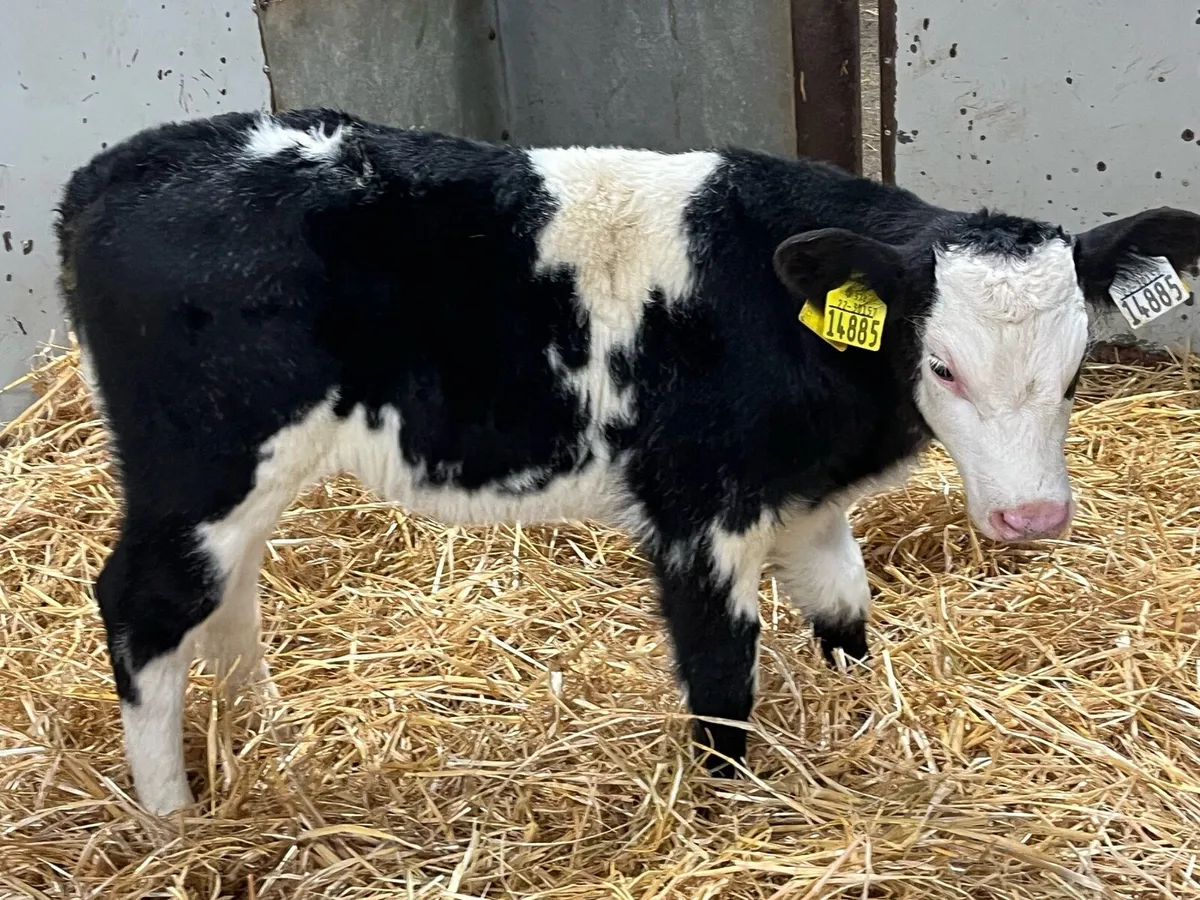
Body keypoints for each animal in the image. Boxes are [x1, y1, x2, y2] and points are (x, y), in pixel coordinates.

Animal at [55, 108, 1200, 815]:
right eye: (944, 366)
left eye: (1077, 366)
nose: (1031, 519)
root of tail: (116, 170)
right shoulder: (698, 511)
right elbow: (723, 677)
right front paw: (731, 811)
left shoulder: (805, 500)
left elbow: (844, 613)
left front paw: (864, 726)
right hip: (199, 461)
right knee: (143, 604)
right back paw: (174, 821)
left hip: (240, 477)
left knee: (229, 590)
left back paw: (258, 733)